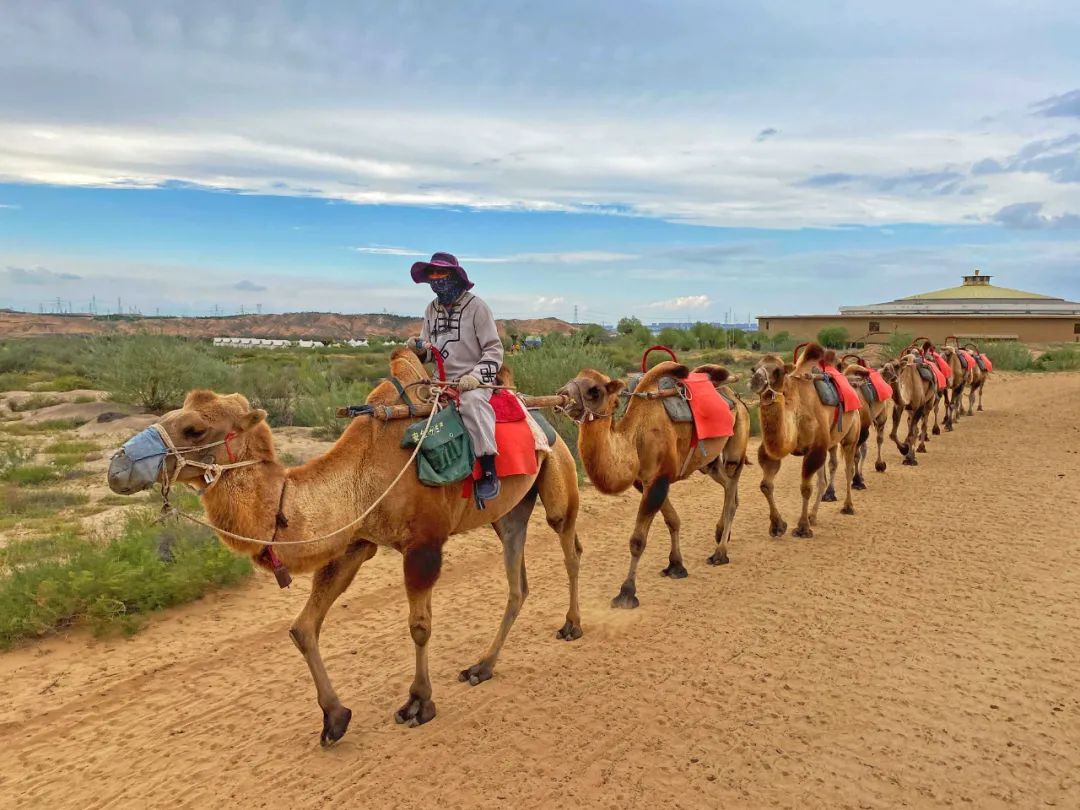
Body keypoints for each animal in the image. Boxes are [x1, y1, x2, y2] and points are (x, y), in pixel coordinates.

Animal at [105, 349, 587, 747]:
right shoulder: (356, 542)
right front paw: (334, 718)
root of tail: (543, 415)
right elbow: (303, 628)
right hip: (509, 512)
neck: (361, 473)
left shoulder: (424, 544)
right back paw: (482, 667)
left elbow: (419, 626)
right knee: (517, 582)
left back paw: (571, 626)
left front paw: (419, 703)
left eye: (194, 428)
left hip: (558, 472)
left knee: (569, 546)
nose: (118, 465)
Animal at [557, 362, 751, 609]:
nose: (562, 394)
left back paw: (720, 553)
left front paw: (627, 592)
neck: (635, 438)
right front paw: (676, 566)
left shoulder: (658, 479)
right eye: (574, 378)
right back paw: (721, 534)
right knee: (728, 487)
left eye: (594, 391)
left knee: (732, 487)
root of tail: (736, 397)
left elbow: (637, 540)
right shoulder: (645, 482)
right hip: (709, 463)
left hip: (737, 443)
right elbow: (673, 520)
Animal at [751, 343, 859, 540]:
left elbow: (805, 488)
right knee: (825, 475)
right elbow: (765, 485)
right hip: (830, 443)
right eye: (754, 368)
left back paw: (848, 507)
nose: (757, 380)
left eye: (778, 371)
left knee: (848, 469)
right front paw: (777, 526)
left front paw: (802, 528)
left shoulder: (815, 448)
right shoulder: (771, 450)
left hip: (851, 435)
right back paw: (813, 516)